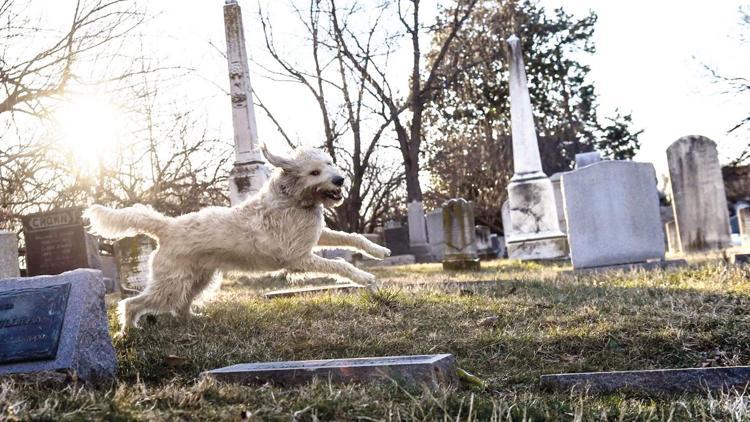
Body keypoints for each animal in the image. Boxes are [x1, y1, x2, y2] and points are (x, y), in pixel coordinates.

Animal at [85, 147, 394, 334]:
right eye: (314, 172)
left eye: (329, 163)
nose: (340, 179)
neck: (292, 200)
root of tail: (167, 225)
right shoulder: (300, 256)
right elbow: (341, 264)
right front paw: (366, 279)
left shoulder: (317, 237)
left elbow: (351, 237)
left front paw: (378, 250)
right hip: (170, 285)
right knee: (133, 303)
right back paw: (128, 330)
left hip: (198, 280)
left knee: (180, 306)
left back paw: (193, 321)